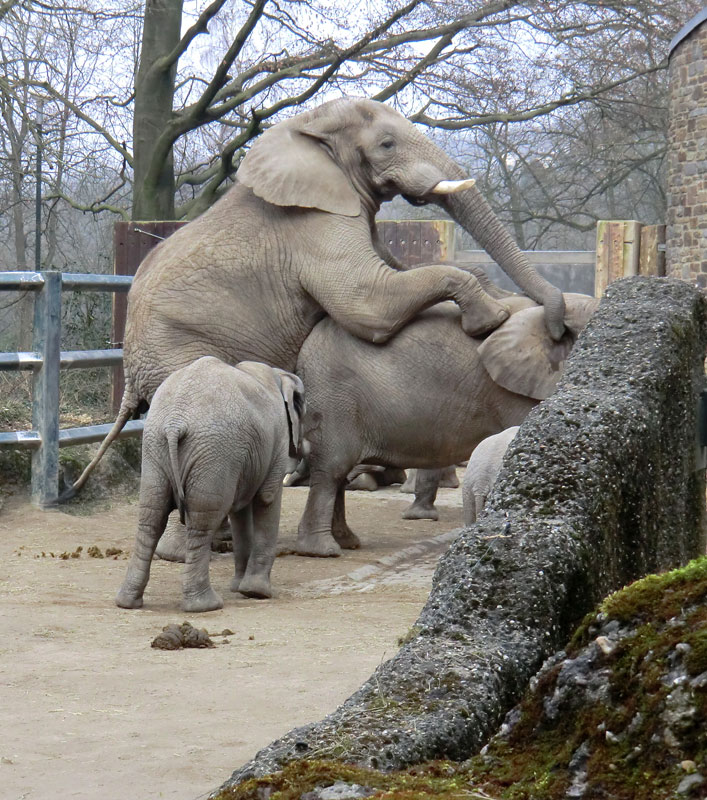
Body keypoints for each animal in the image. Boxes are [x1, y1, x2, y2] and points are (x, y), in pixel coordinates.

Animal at [65, 97, 564, 496]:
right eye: (386, 144)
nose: (557, 326)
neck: (305, 125)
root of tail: (131, 373)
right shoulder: (313, 227)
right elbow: (367, 302)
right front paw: (490, 317)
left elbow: (397, 272)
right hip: (178, 353)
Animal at [115, 358, 306, 612]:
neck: (278, 376)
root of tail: (175, 422)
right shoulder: (277, 442)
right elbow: (267, 499)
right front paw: (257, 593)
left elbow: (240, 513)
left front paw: (239, 588)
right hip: (214, 454)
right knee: (201, 523)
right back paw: (206, 605)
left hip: (155, 447)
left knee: (151, 518)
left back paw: (128, 602)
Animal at [294, 292, 596, 556]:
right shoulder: (513, 391)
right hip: (334, 399)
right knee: (331, 470)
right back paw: (324, 551)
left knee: (339, 474)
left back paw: (347, 542)